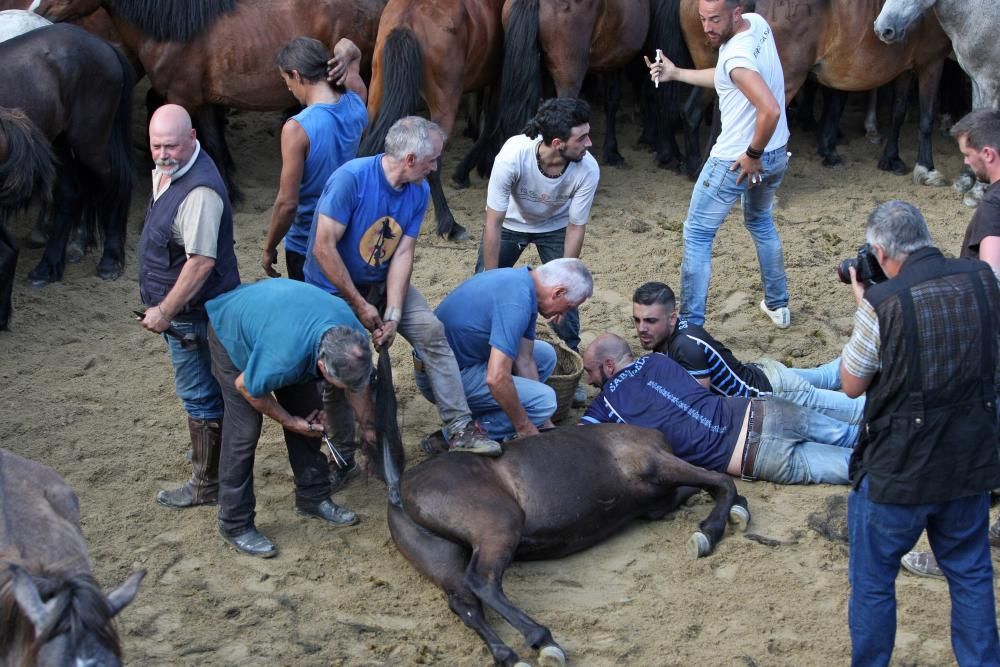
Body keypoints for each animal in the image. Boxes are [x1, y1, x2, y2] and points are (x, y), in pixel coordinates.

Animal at [39, 0, 384, 201]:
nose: (40, 11)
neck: (175, 32)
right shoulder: (202, 102)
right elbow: (214, 145)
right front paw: (229, 192)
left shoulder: (179, 99)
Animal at [358, 0, 504, 240]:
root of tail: (406, 18)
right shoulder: (498, 80)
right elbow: (492, 124)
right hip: (444, 103)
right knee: (432, 165)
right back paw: (449, 224)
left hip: (376, 94)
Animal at [370, 350, 752, 667]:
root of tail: (399, 487)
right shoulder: (656, 463)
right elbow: (721, 481)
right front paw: (710, 531)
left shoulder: (656, 502)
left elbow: (699, 488)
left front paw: (728, 514)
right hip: (498, 525)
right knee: (482, 581)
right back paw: (542, 638)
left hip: (442, 556)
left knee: (465, 604)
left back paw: (511, 656)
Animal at [876, 0, 1000, 206]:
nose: (881, 29)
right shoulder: (976, 81)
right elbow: (973, 120)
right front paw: (968, 180)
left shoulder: (987, 82)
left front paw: (977, 191)